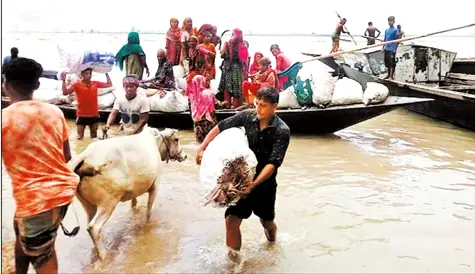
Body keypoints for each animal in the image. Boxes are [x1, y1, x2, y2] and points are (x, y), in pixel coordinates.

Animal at [68, 126, 187, 260]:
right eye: (176, 139)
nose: (185, 155)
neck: (156, 142)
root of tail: (85, 156)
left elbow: (134, 204)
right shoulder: (155, 185)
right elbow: (149, 211)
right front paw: (147, 225)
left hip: (88, 205)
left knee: (89, 224)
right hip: (109, 202)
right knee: (94, 227)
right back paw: (104, 256)